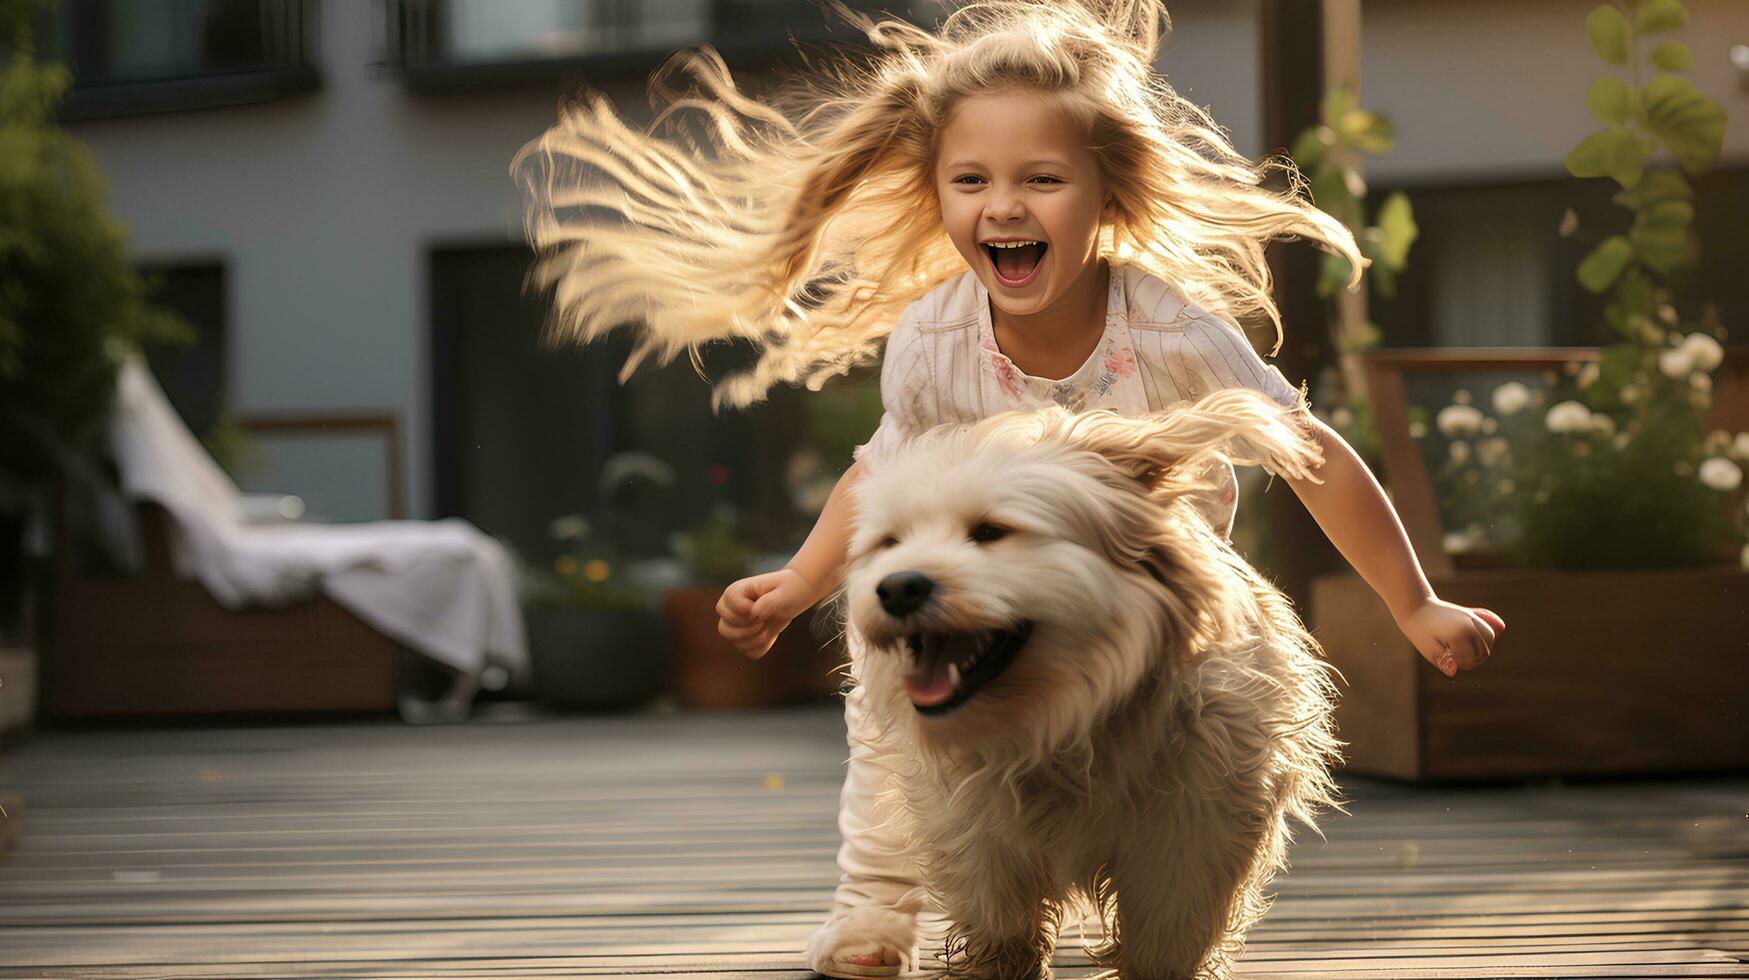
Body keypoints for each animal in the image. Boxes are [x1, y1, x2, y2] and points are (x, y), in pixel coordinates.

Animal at [839, 390, 1343, 980]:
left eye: (989, 532)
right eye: (889, 543)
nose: (897, 588)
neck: (1063, 724)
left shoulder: (1189, 833)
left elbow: (1165, 939)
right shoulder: (980, 841)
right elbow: (1003, 929)